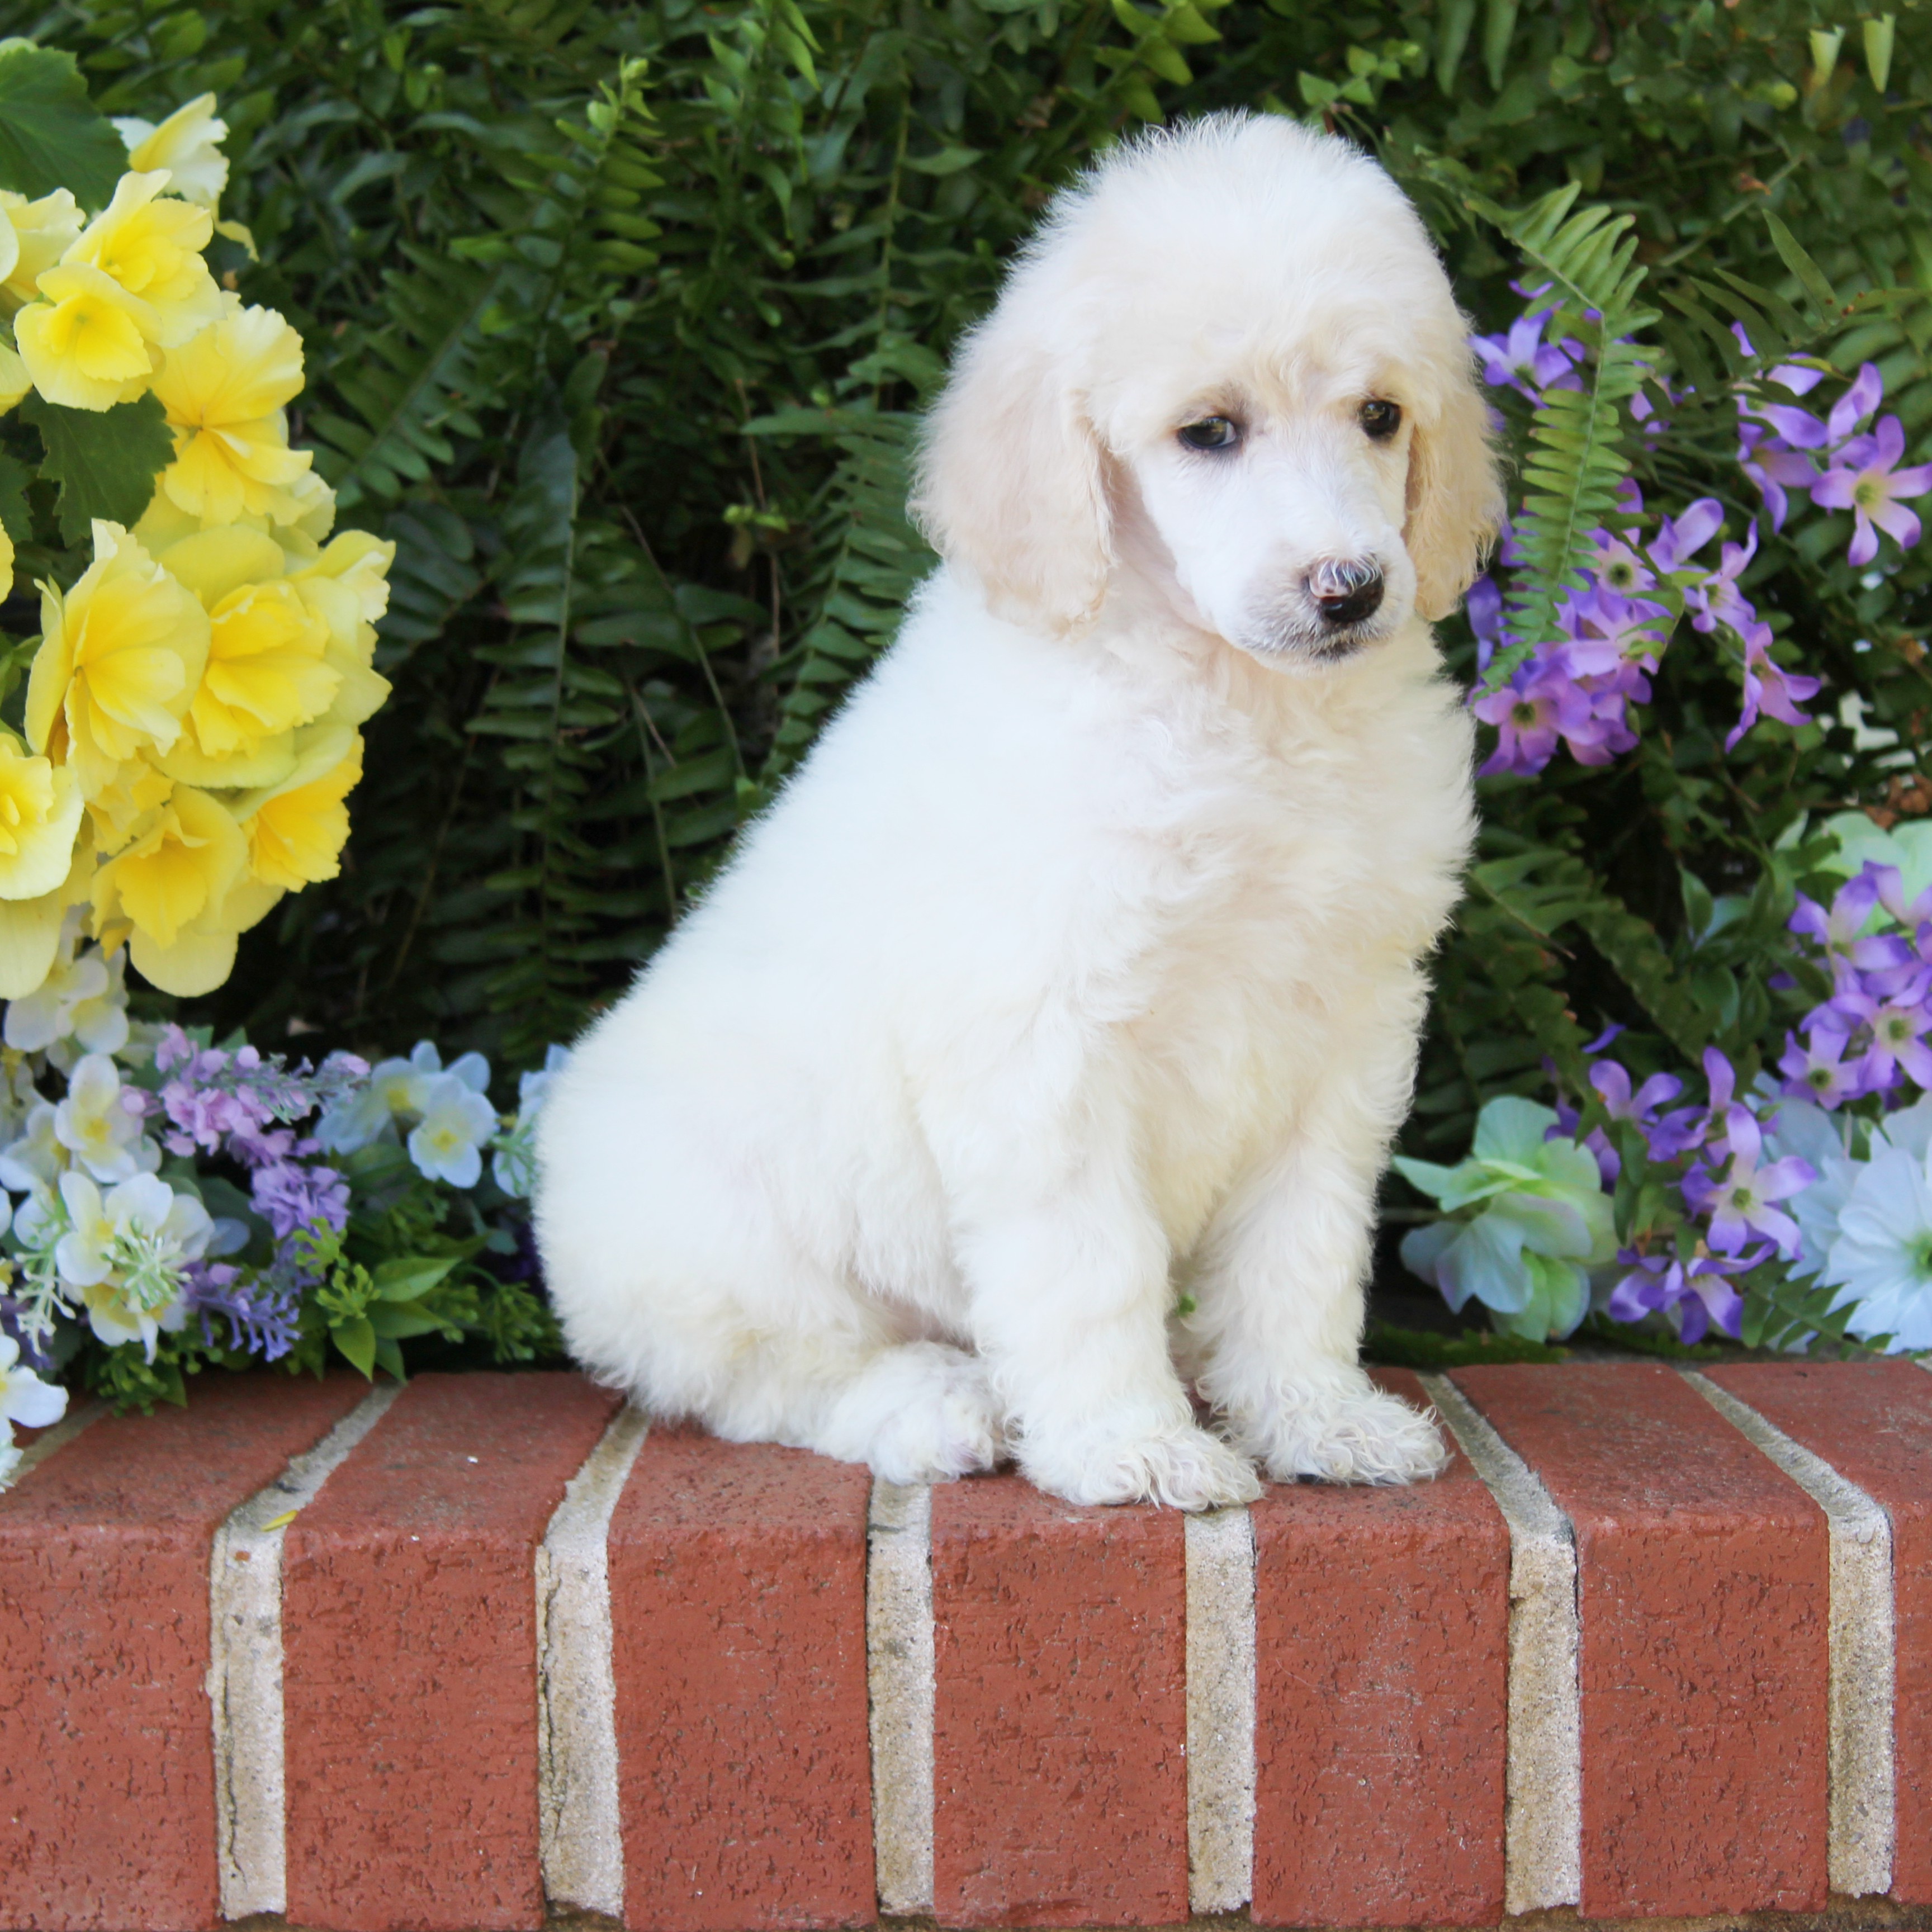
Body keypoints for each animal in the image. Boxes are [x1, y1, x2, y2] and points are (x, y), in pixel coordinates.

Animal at [537, 110, 1499, 1507]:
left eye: (1380, 416)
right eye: (1210, 433)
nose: (1350, 588)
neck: (1239, 707)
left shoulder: (1348, 1027)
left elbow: (1304, 1255)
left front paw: (1318, 1416)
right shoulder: (1044, 1035)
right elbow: (1086, 1265)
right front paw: (1131, 1446)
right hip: (719, 1243)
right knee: (773, 1376)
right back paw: (936, 1405)